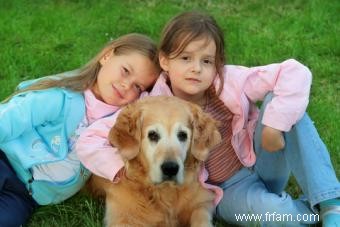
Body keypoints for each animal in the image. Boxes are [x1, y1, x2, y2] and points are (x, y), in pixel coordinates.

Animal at [88, 96, 220, 227]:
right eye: (153, 135)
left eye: (182, 135)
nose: (170, 168)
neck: (164, 191)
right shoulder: (122, 217)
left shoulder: (202, 201)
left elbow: (200, 216)